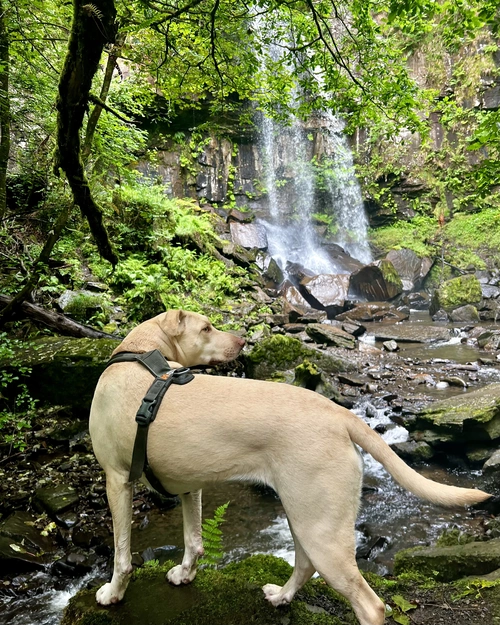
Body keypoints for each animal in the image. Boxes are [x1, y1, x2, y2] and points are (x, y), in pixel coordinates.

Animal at [89, 308, 488, 624]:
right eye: (206, 328)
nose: (242, 341)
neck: (142, 354)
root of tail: (340, 413)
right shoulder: (189, 485)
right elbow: (193, 540)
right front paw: (185, 574)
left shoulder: (117, 481)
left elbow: (122, 554)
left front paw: (113, 593)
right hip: (304, 513)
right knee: (305, 564)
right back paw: (281, 597)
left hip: (320, 529)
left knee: (370, 605)